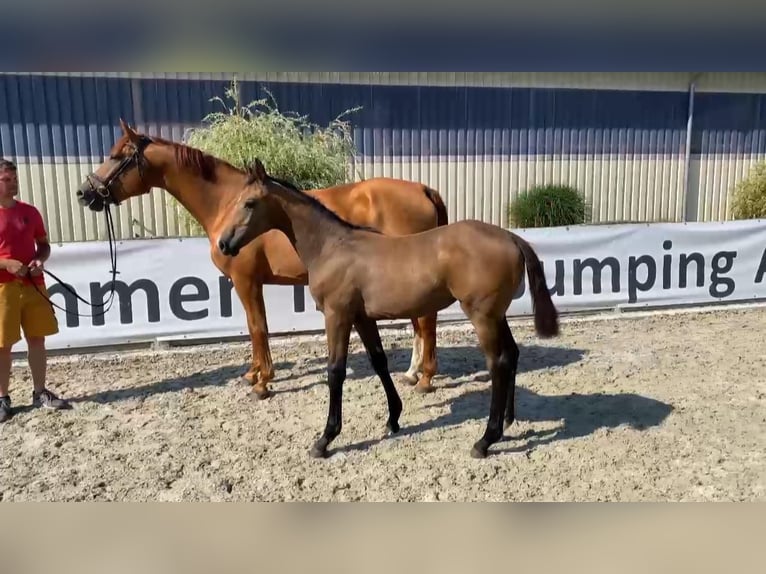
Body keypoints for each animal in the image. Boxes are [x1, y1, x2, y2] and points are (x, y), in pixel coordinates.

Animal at [76, 121, 450, 400]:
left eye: (117, 156)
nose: (84, 192)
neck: (227, 202)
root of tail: (423, 189)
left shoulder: (246, 281)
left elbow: (258, 328)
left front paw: (262, 382)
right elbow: (253, 328)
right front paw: (253, 373)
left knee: (426, 321)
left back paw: (425, 378)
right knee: (420, 322)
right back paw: (413, 372)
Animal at [218, 160, 564, 462]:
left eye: (249, 203)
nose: (223, 243)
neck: (332, 247)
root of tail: (512, 237)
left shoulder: (337, 315)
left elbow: (335, 371)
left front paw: (325, 439)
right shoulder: (362, 317)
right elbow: (378, 361)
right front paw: (393, 419)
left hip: (482, 316)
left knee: (498, 364)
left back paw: (485, 439)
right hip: (496, 315)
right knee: (512, 354)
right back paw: (507, 421)